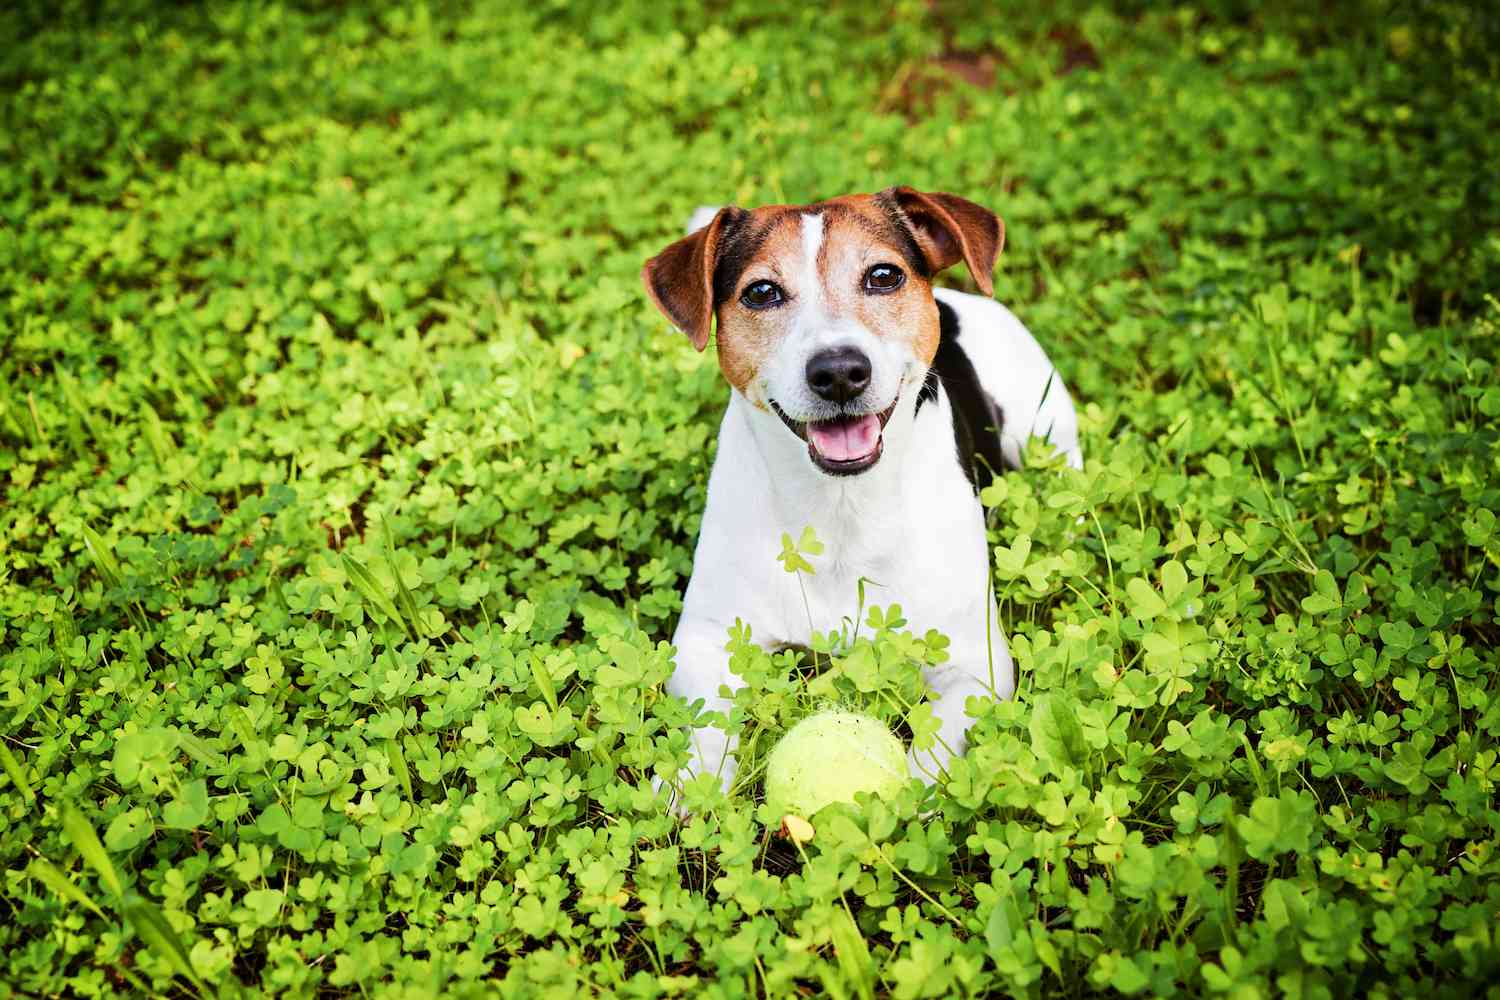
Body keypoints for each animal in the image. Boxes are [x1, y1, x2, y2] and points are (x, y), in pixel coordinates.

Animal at [639, 189, 1086, 815]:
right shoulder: (708, 636)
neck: (841, 508)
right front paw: (691, 785)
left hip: (1045, 429)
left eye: (883, 276)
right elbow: (704, 721)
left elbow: (934, 744)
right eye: (761, 292)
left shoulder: (977, 664)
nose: (839, 371)